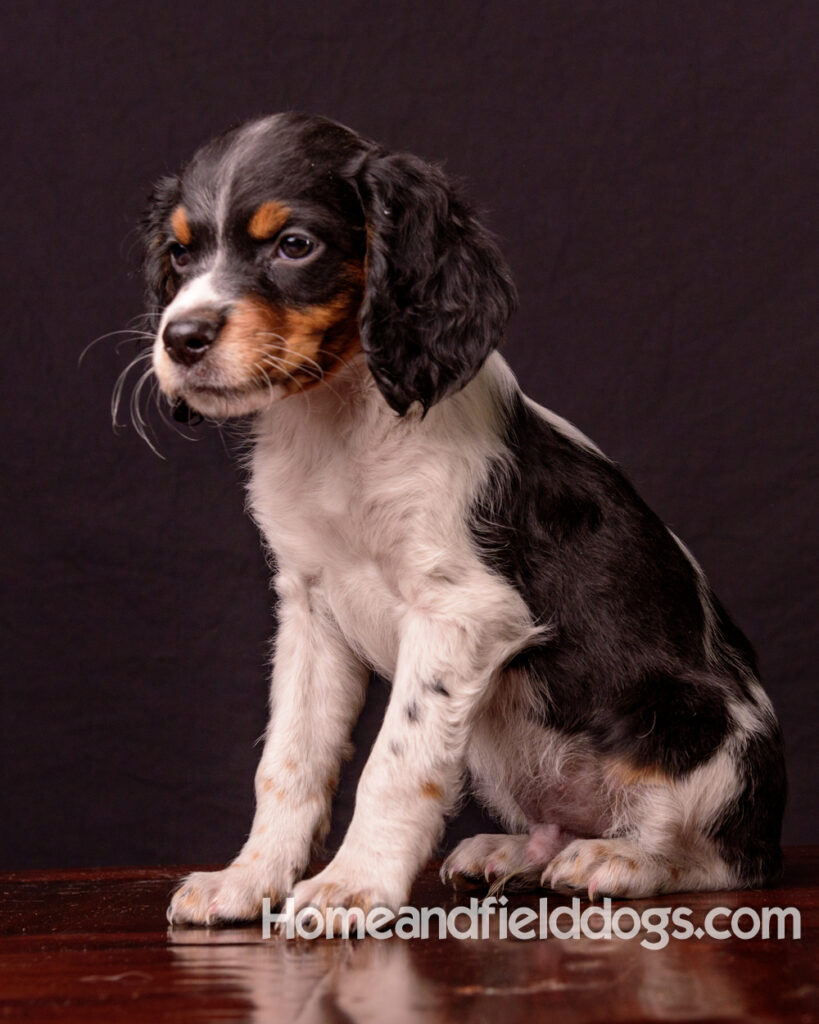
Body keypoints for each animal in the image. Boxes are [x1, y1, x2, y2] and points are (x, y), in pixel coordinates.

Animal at [141, 112, 786, 929]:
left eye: (294, 245)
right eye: (179, 253)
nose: (181, 337)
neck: (339, 422)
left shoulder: (458, 611)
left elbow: (393, 763)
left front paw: (353, 886)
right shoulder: (311, 610)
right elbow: (288, 760)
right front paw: (248, 879)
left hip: (699, 732)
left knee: (722, 858)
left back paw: (623, 859)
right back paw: (515, 852)